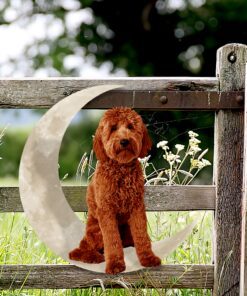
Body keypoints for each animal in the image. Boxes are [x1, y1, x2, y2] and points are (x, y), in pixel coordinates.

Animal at [68, 107, 161, 276]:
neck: (121, 169)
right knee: (80, 251)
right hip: (96, 231)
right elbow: (112, 240)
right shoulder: (107, 210)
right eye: (113, 128)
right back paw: (95, 257)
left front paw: (148, 258)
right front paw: (115, 265)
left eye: (130, 126)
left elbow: (142, 236)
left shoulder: (137, 207)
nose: (124, 141)